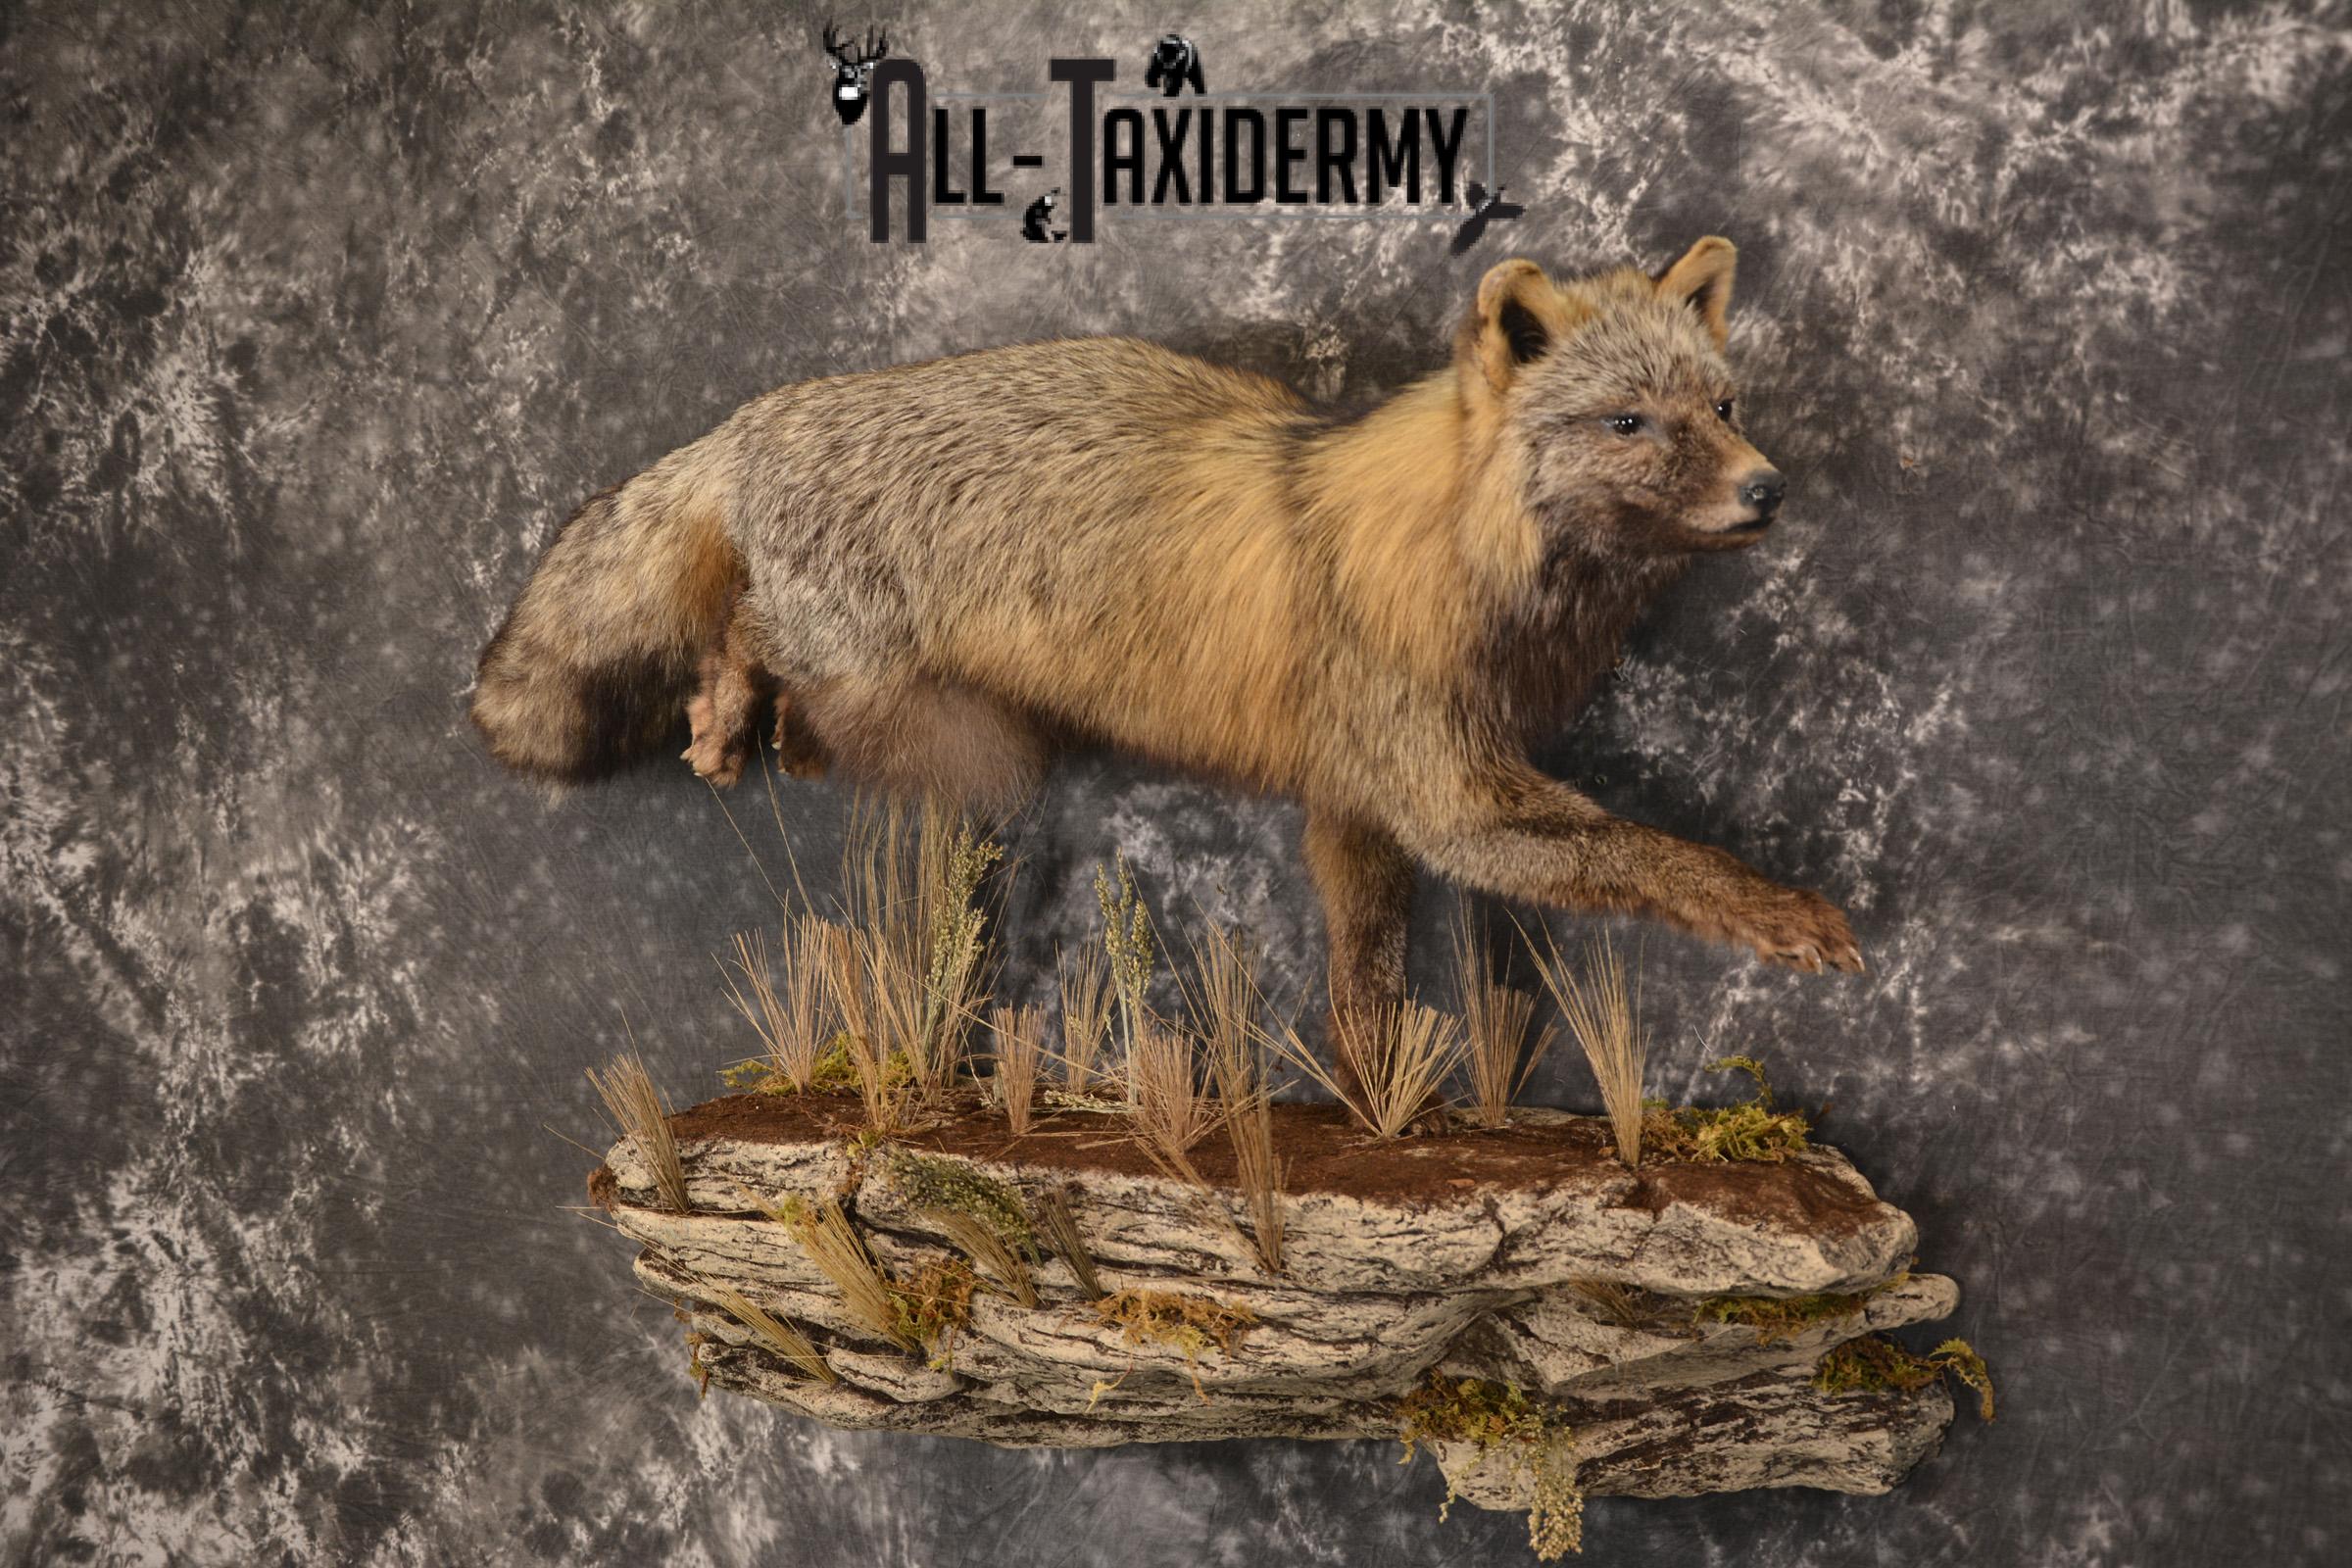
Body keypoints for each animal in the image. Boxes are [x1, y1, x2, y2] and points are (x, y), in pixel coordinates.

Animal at [471, 237, 1863, 1069]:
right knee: (754, 632)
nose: (1771, 489)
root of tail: (763, 413)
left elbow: (1365, 976)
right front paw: (1781, 911)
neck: (1451, 557)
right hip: (954, 729)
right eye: (1630, 422)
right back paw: (725, 711)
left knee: (774, 665)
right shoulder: (1448, 795)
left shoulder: (1356, 807)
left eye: (1723, 406)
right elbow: (1648, 852)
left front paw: (1374, 1102)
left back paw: (756, 729)